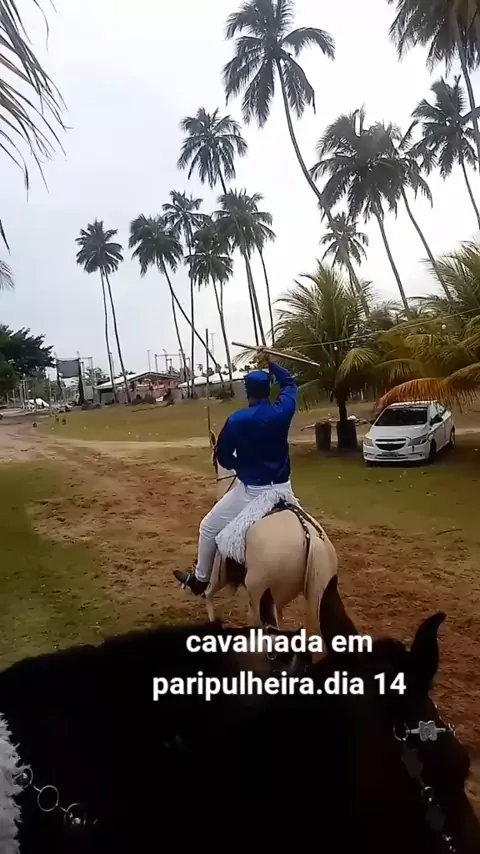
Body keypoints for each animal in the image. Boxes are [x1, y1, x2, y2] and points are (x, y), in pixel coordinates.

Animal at [203, 428, 338, 632]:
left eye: (213, 458)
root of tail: (310, 536)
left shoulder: (220, 571)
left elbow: (209, 592)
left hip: (258, 592)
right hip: (310, 595)